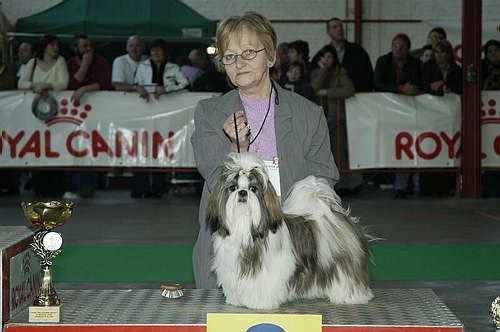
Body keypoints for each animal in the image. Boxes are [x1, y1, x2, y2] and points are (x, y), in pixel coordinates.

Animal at [205, 152, 374, 310]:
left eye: (253, 189)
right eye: (233, 188)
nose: (242, 192)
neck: (244, 226)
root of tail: (332, 214)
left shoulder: (270, 270)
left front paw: (260, 303)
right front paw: (237, 300)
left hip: (342, 263)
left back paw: (352, 296)